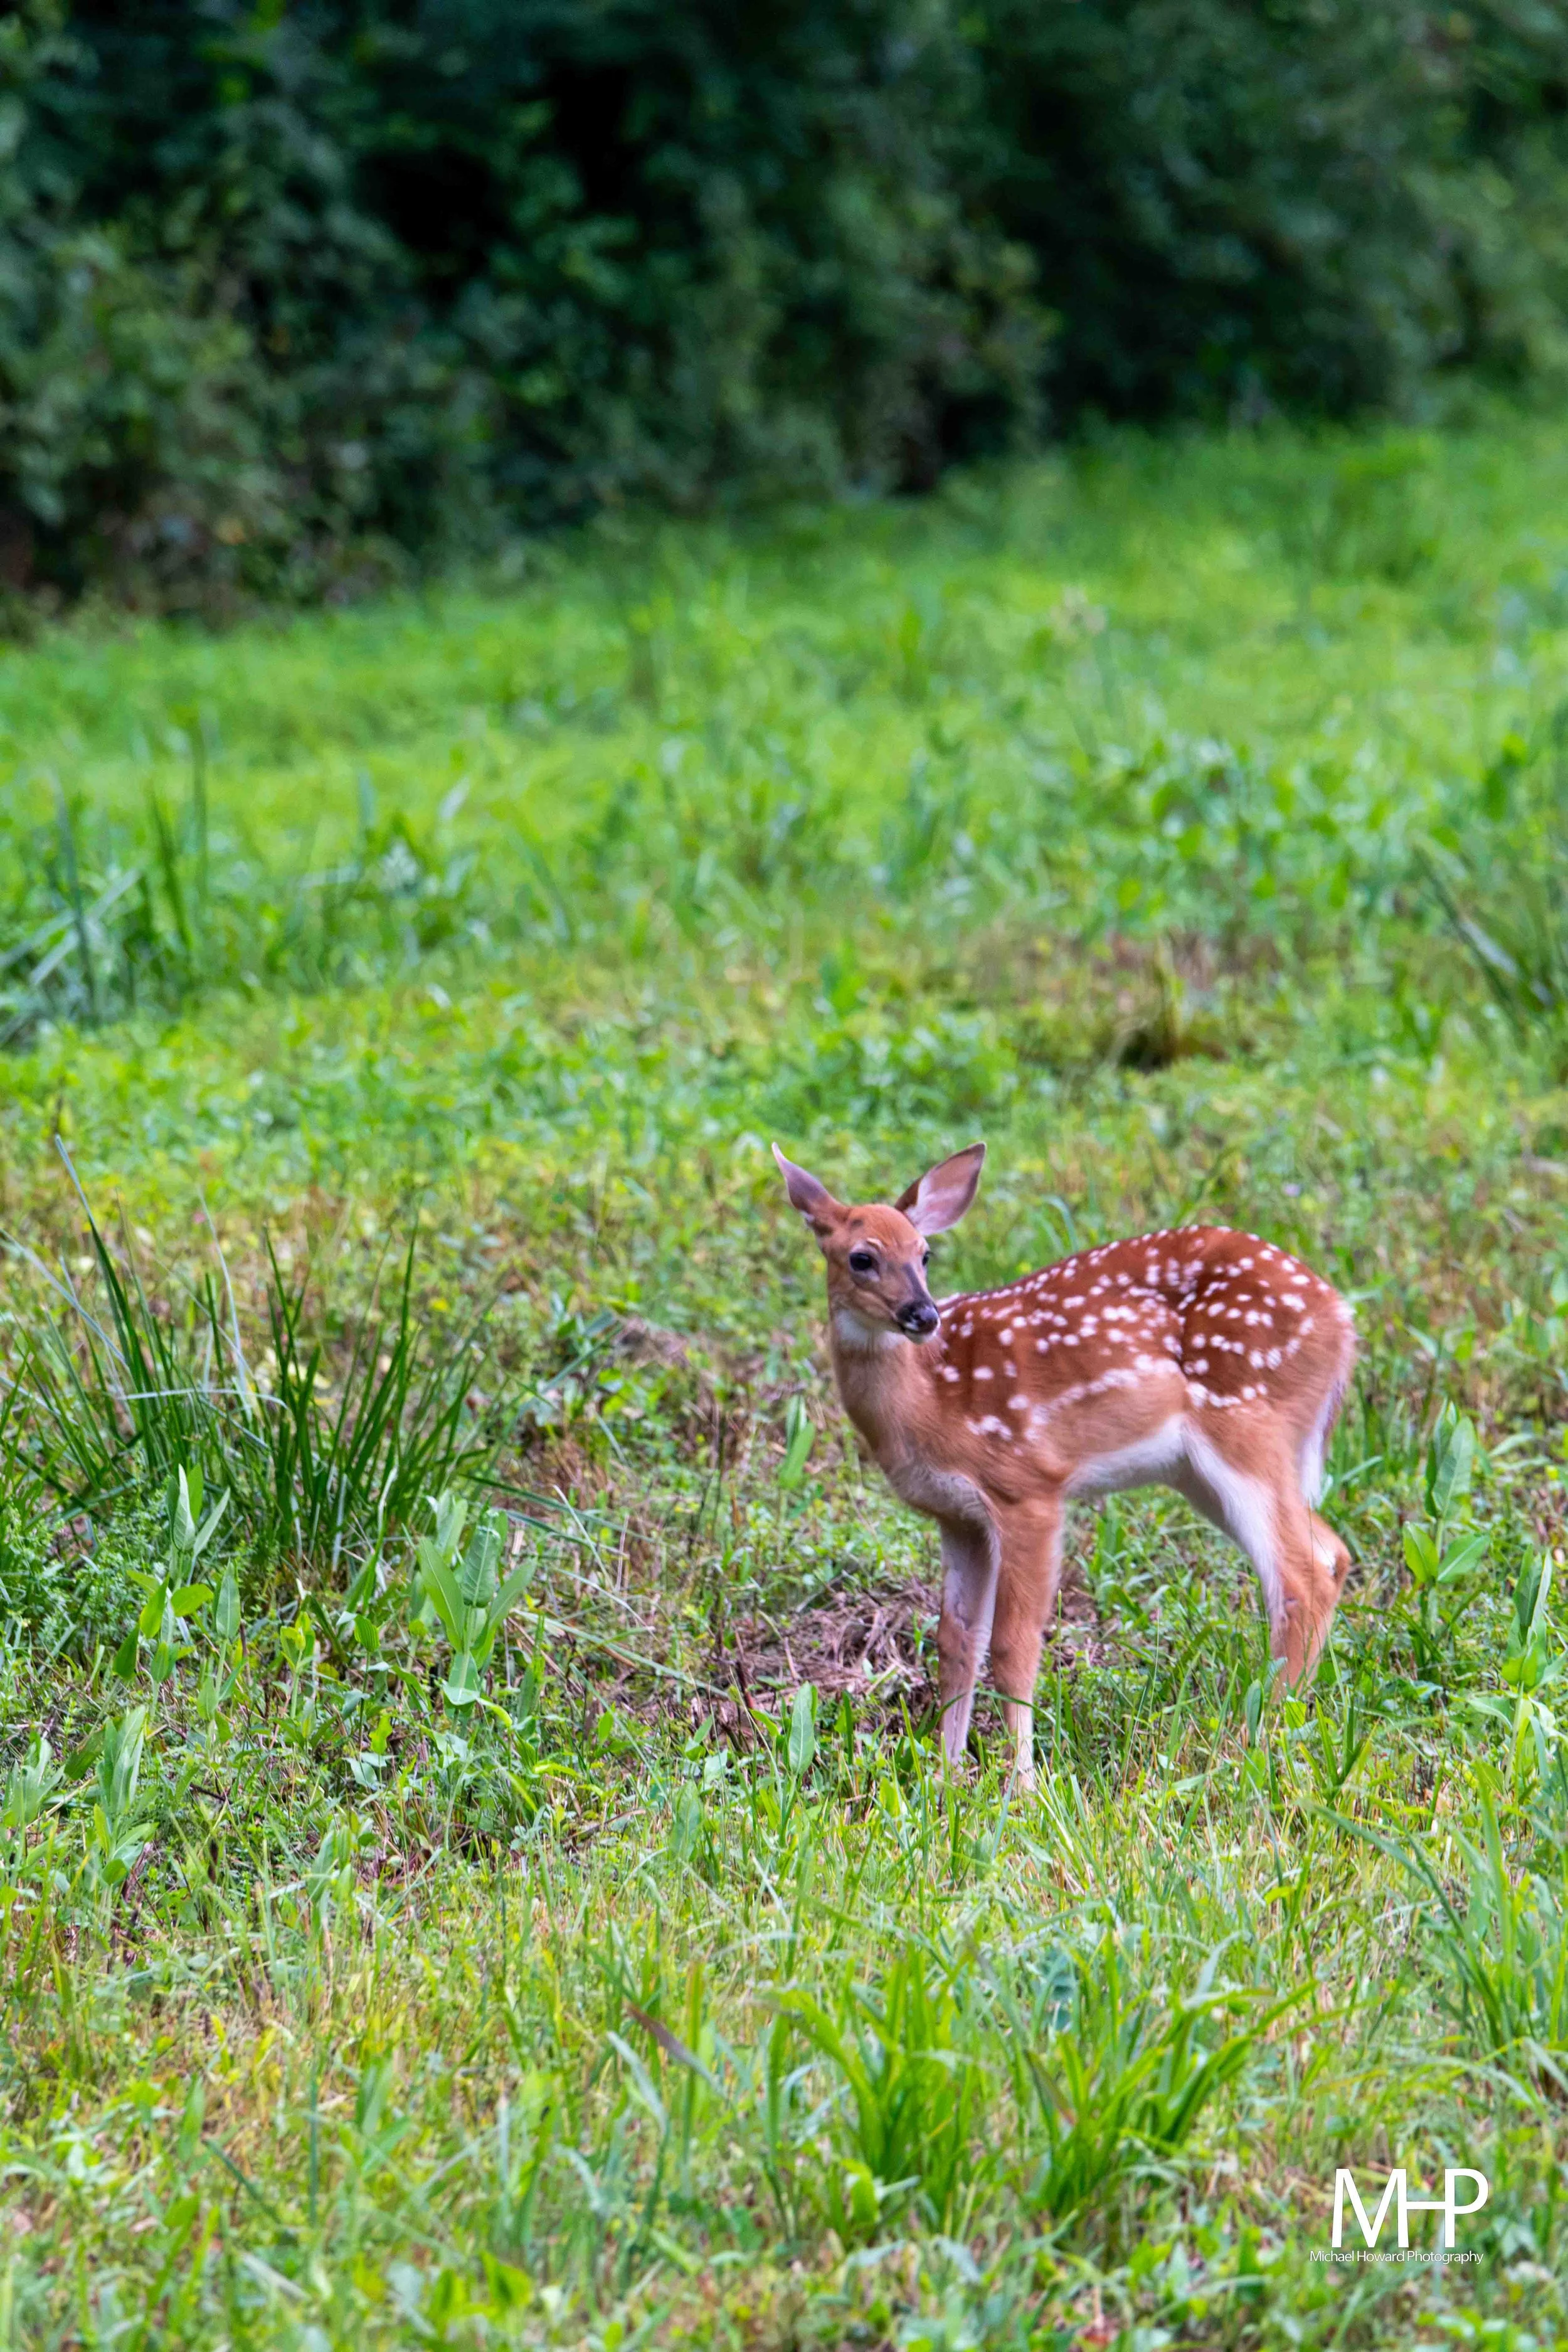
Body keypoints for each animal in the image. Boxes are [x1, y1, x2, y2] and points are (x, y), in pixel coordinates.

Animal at [772, 1140, 1355, 1789]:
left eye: (925, 1253)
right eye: (861, 1258)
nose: (923, 1315)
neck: (928, 1402)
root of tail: (1342, 1319)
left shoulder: (1027, 1486)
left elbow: (1013, 1644)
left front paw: (1021, 1785)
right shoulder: (958, 1515)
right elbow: (957, 1641)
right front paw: (946, 1777)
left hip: (1246, 1425)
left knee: (1301, 1572)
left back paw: (1258, 1734)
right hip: (1205, 1470)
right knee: (1329, 1553)